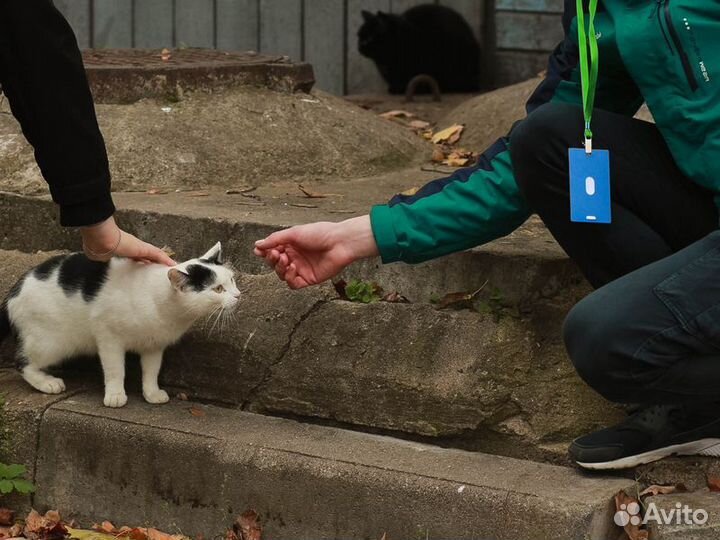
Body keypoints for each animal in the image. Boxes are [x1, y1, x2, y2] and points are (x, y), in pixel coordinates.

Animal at [0, 243, 242, 408]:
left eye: (231, 280)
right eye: (218, 289)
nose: (238, 295)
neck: (162, 305)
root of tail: (12, 292)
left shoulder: (154, 345)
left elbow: (151, 370)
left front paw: (152, 393)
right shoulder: (108, 337)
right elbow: (115, 369)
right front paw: (115, 395)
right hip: (51, 342)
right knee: (22, 363)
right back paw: (47, 383)